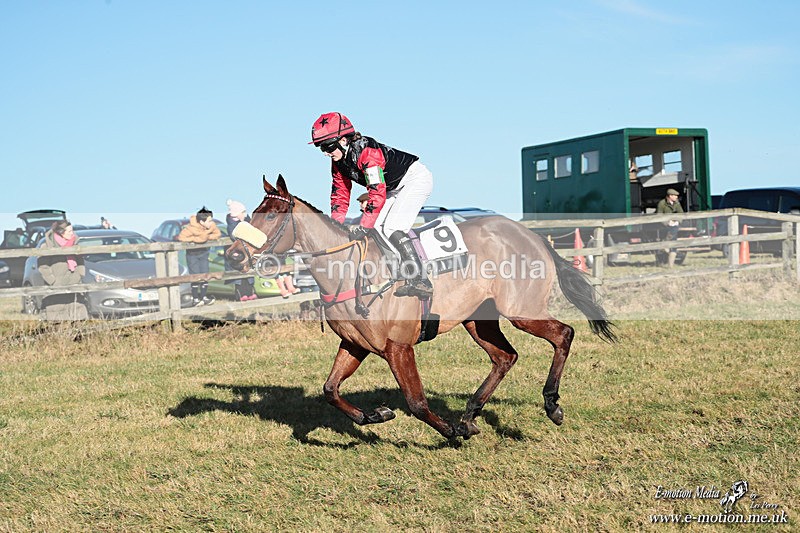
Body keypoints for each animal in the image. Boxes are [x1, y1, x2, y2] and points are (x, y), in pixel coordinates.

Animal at [225, 175, 616, 440]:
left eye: (272, 216)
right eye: (257, 212)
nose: (233, 255)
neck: (349, 270)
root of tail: (533, 235)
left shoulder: (398, 347)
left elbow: (415, 402)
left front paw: (452, 432)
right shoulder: (354, 344)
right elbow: (330, 389)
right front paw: (377, 415)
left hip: (522, 310)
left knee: (563, 334)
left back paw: (550, 404)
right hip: (478, 319)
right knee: (505, 357)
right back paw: (470, 414)